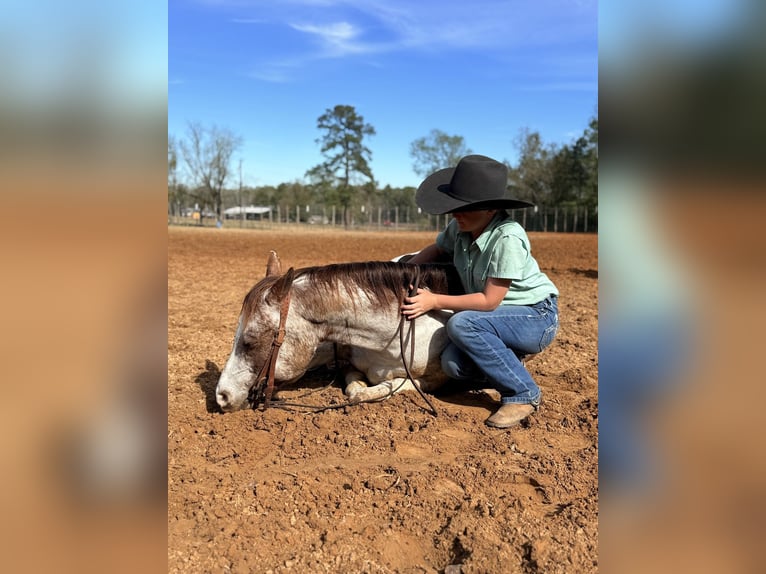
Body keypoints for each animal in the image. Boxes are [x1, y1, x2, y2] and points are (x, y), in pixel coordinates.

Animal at [215, 253, 463, 413]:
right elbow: (354, 390)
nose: (221, 395)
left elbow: (371, 392)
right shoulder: (349, 364)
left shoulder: (432, 381)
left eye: (250, 341)